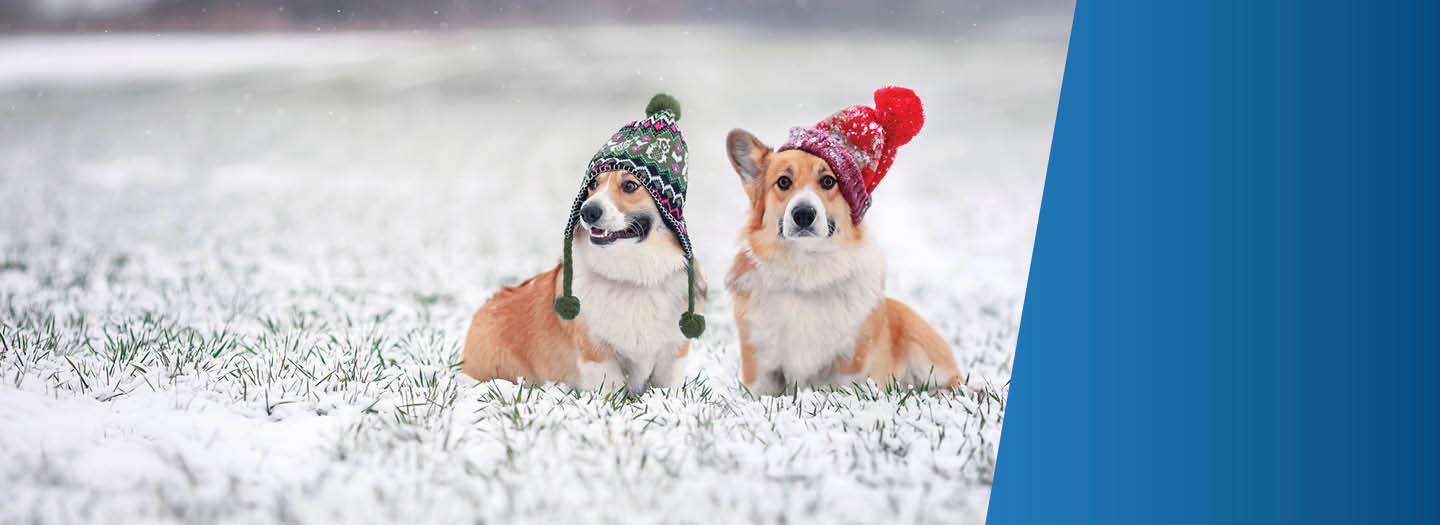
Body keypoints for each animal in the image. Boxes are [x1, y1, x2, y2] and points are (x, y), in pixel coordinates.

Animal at [725, 123, 961, 391]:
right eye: (783, 182)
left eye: (828, 181)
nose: (803, 214)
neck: (805, 269)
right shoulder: (760, 362)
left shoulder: (849, 363)